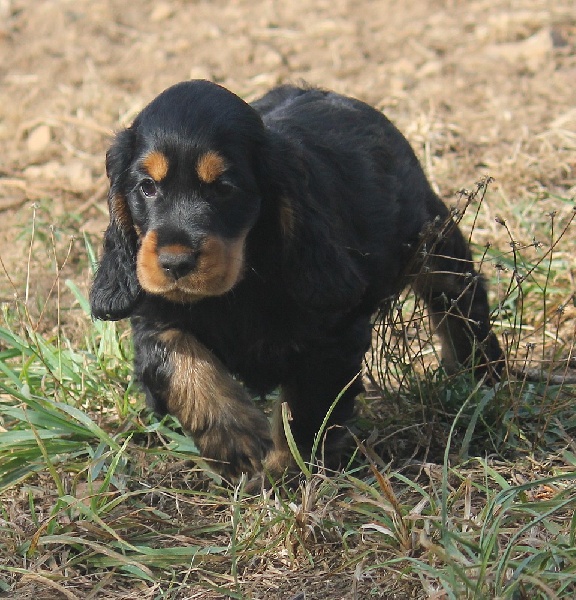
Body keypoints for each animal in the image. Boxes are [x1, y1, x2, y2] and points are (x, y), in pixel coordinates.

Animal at [90, 80, 503, 478]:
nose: (175, 263)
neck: (241, 280)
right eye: (147, 186)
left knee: (460, 298)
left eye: (224, 188)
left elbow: (306, 412)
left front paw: (285, 471)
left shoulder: (331, 335)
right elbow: (178, 362)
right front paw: (237, 440)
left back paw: (481, 372)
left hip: (433, 243)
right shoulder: (155, 316)